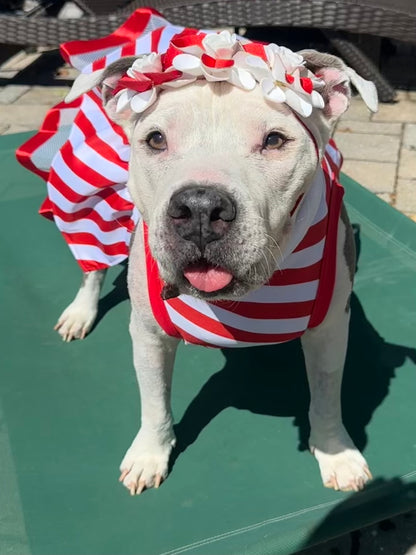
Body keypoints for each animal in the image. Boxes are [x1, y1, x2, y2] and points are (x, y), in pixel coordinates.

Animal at [51, 29, 376, 496]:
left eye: (274, 140)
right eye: (156, 139)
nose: (201, 208)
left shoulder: (331, 328)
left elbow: (328, 395)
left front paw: (336, 454)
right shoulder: (148, 334)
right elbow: (155, 402)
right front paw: (150, 454)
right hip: (91, 208)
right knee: (92, 263)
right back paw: (81, 311)